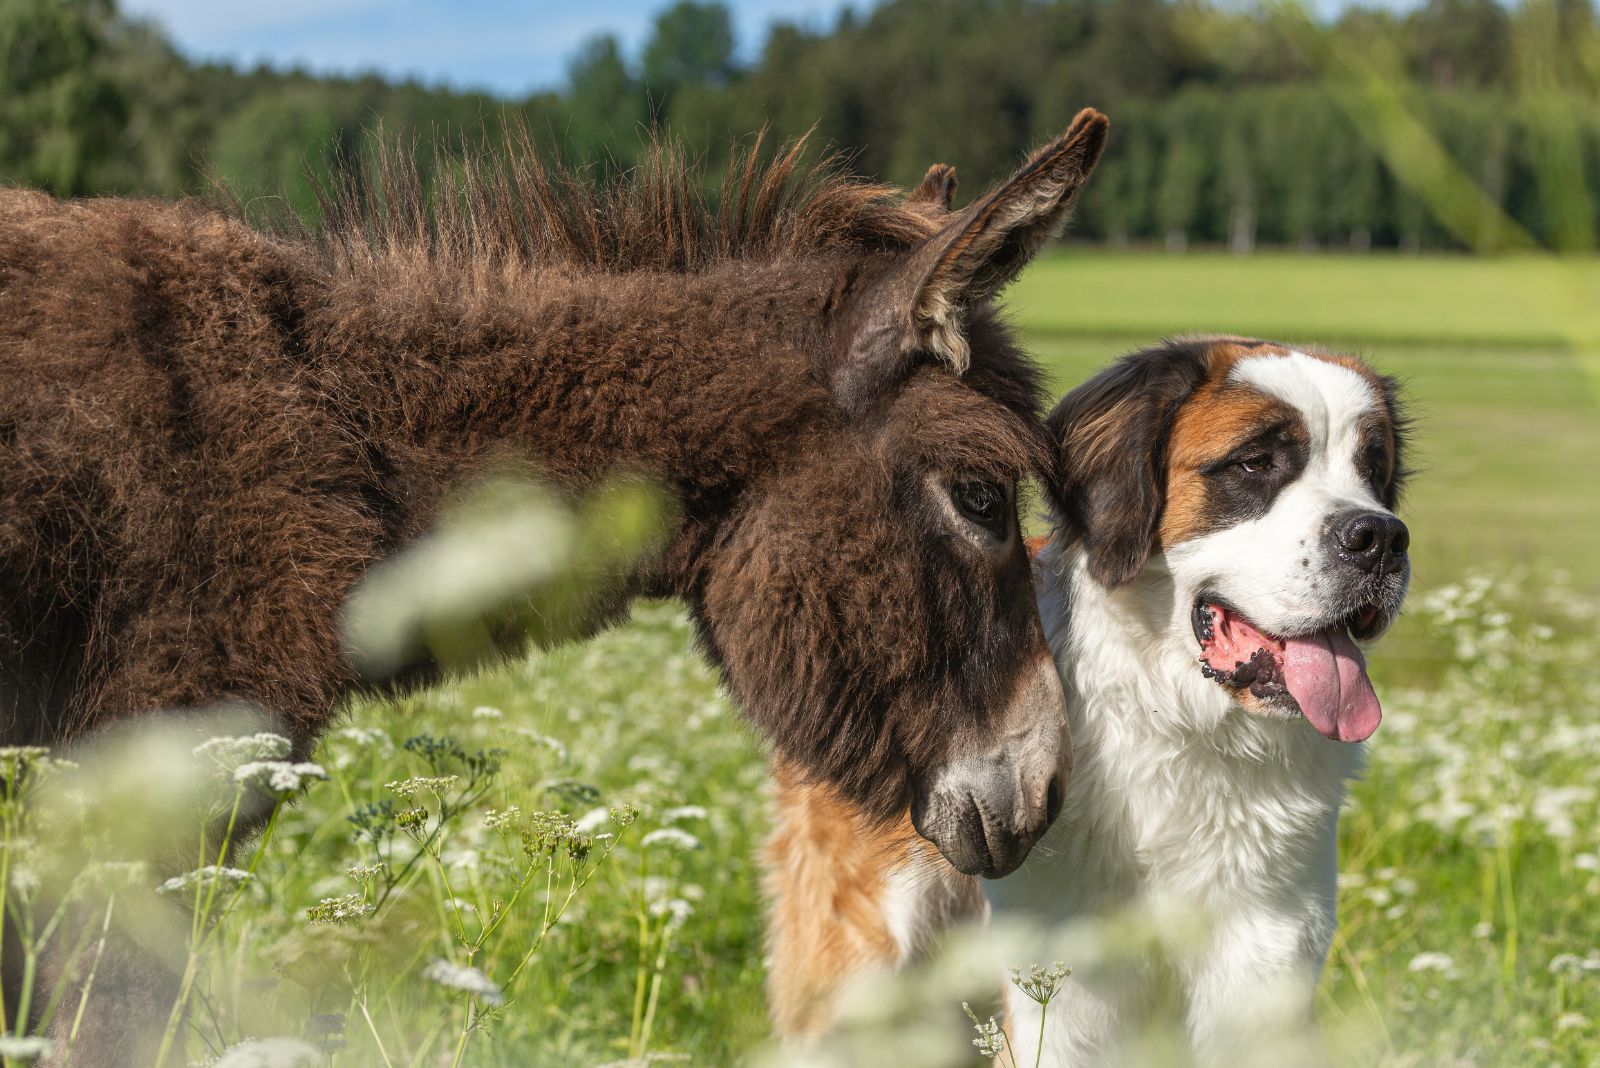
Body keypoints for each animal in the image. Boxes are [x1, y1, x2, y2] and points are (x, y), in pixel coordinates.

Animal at [761, 334, 1414, 1061]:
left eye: (1373, 469)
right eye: (1255, 463)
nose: (1383, 538)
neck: (1181, 726)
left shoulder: (1264, 960)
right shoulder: (1066, 991)